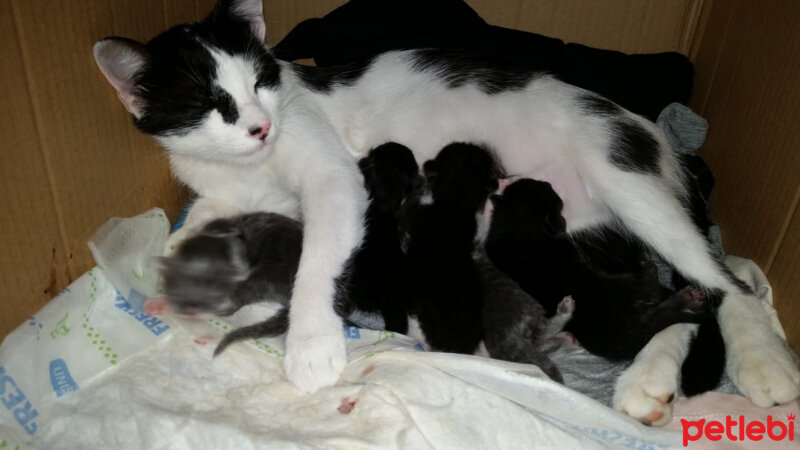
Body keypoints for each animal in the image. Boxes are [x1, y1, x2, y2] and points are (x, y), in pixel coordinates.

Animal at [484, 179, 708, 362]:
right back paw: (681, 291)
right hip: (630, 287)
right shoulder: (567, 244)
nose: (547, 182)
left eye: (532, 182)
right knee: (654, 292)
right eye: (551, 195)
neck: (518, 228)